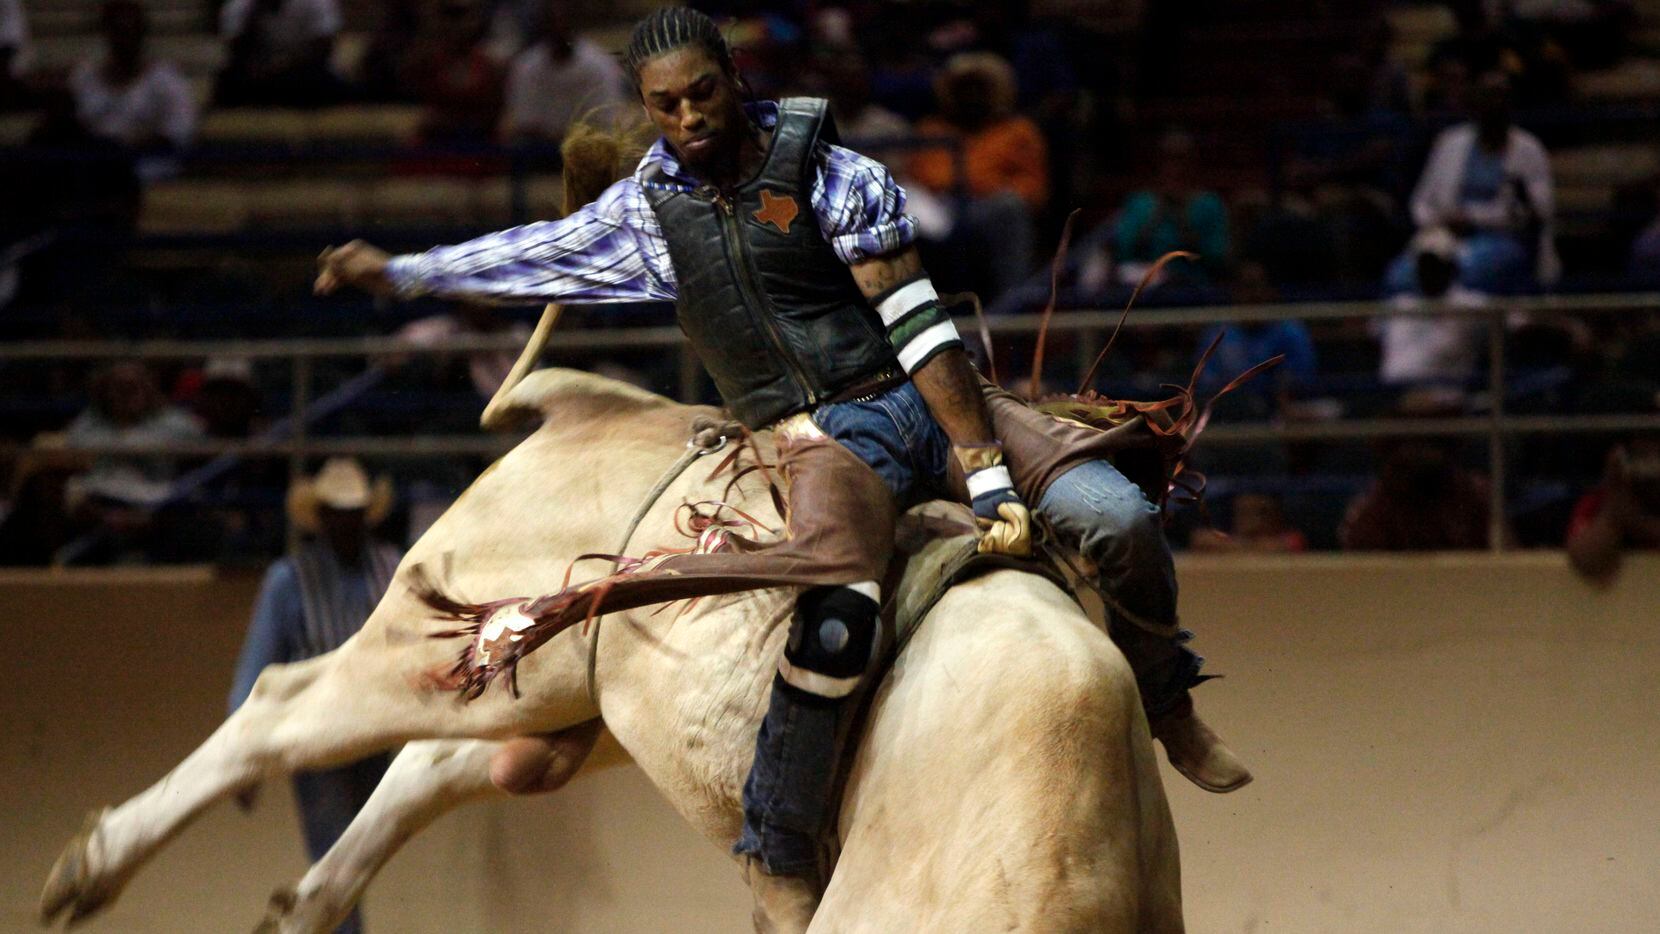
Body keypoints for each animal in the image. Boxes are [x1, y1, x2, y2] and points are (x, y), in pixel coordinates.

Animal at [35, 366, 1181, 934]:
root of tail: (595, 408)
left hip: (555, 705)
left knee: (434, 761)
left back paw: (304, 904)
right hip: (449, 644)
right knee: (283, 707)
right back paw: (93, 865)